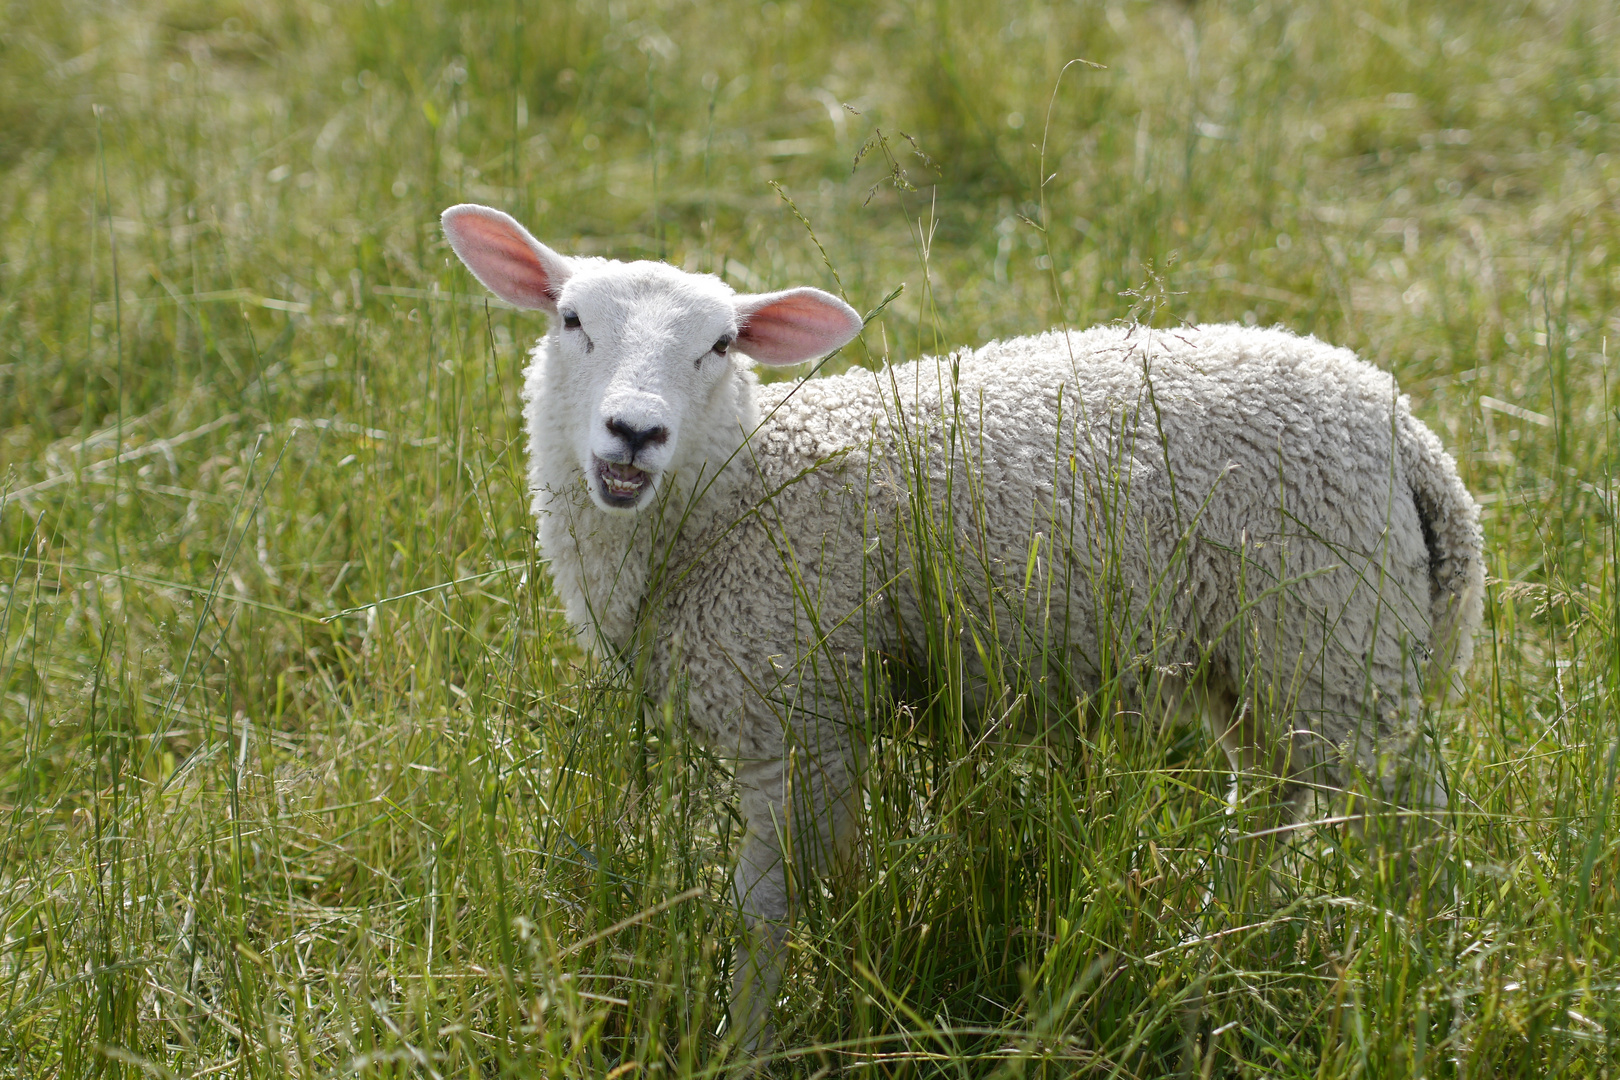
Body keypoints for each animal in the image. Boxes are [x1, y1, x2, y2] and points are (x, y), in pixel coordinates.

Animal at [440, 202, 1483, 1055]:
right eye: (571, 320)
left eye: (725, 345)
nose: (635, 431)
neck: (739, 489)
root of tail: (1413, 440)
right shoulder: (807, 710)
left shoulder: (798, 706)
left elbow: (764, 908)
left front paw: (751, 1042)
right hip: (1274, 658)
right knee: (1270, 801)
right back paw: (1216, 956)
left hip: (1342, 638)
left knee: (1415, 834)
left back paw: (1424, 989)